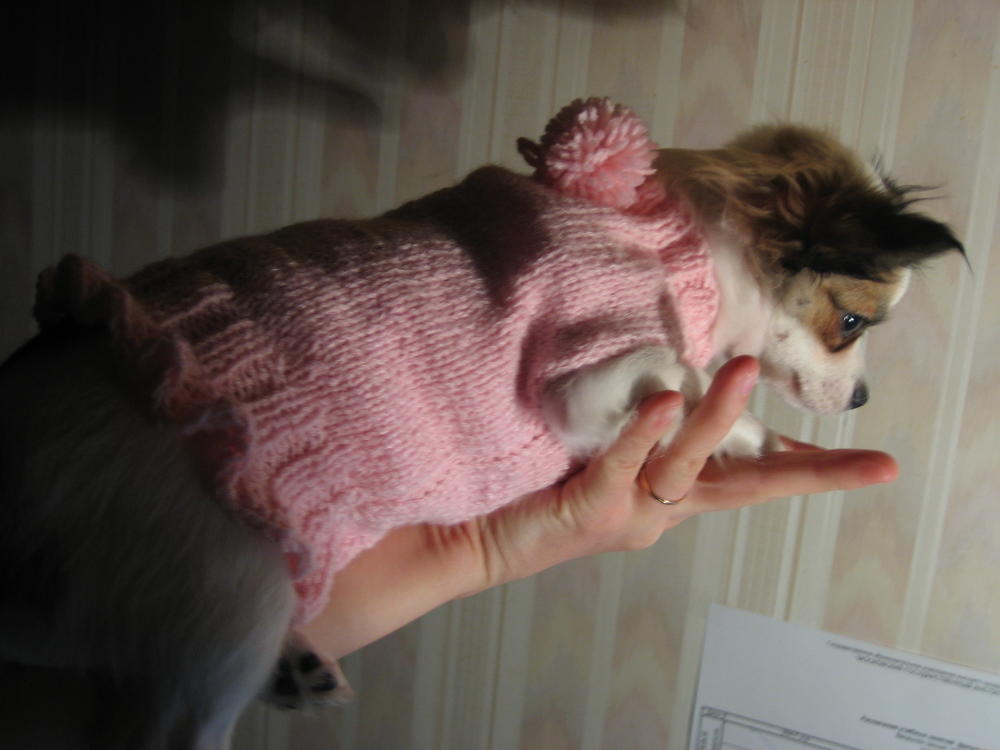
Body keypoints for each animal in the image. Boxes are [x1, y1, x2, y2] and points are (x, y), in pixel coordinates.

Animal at [0, 100, 962, 748]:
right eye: (852, 324)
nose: (865, 400)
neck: (683, 246)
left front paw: (738, 433)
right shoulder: (580, 373)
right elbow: (676, 372)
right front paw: (715, 408)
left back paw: (295, 669)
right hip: (222, 589)